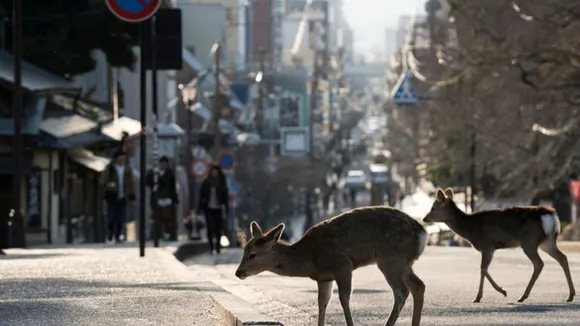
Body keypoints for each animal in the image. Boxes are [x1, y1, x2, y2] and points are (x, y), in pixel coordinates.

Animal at [233, 206, 428, 326]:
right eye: (244, 250)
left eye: (252, 254)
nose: (238, 272)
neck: (310, 259)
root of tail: (423, 233)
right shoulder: (324, 278)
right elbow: (322, 302)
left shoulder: (343, 266)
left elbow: (344, 299)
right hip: (403, 262)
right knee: (418, 285)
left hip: (390, 259)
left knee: (402, 291)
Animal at [422, 187, 576, 304]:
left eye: (433, 207)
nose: (424, 218)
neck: (470, 229)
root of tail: (550, 215)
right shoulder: (489, 248)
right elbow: (483, 269)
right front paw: (484, 295)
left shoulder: (487, 245)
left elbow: (483, 269)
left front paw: (496, 293)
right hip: (547, 241)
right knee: (562, 258)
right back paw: (570, 295)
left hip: (529, 241)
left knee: (539, 263)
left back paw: (523, 296)